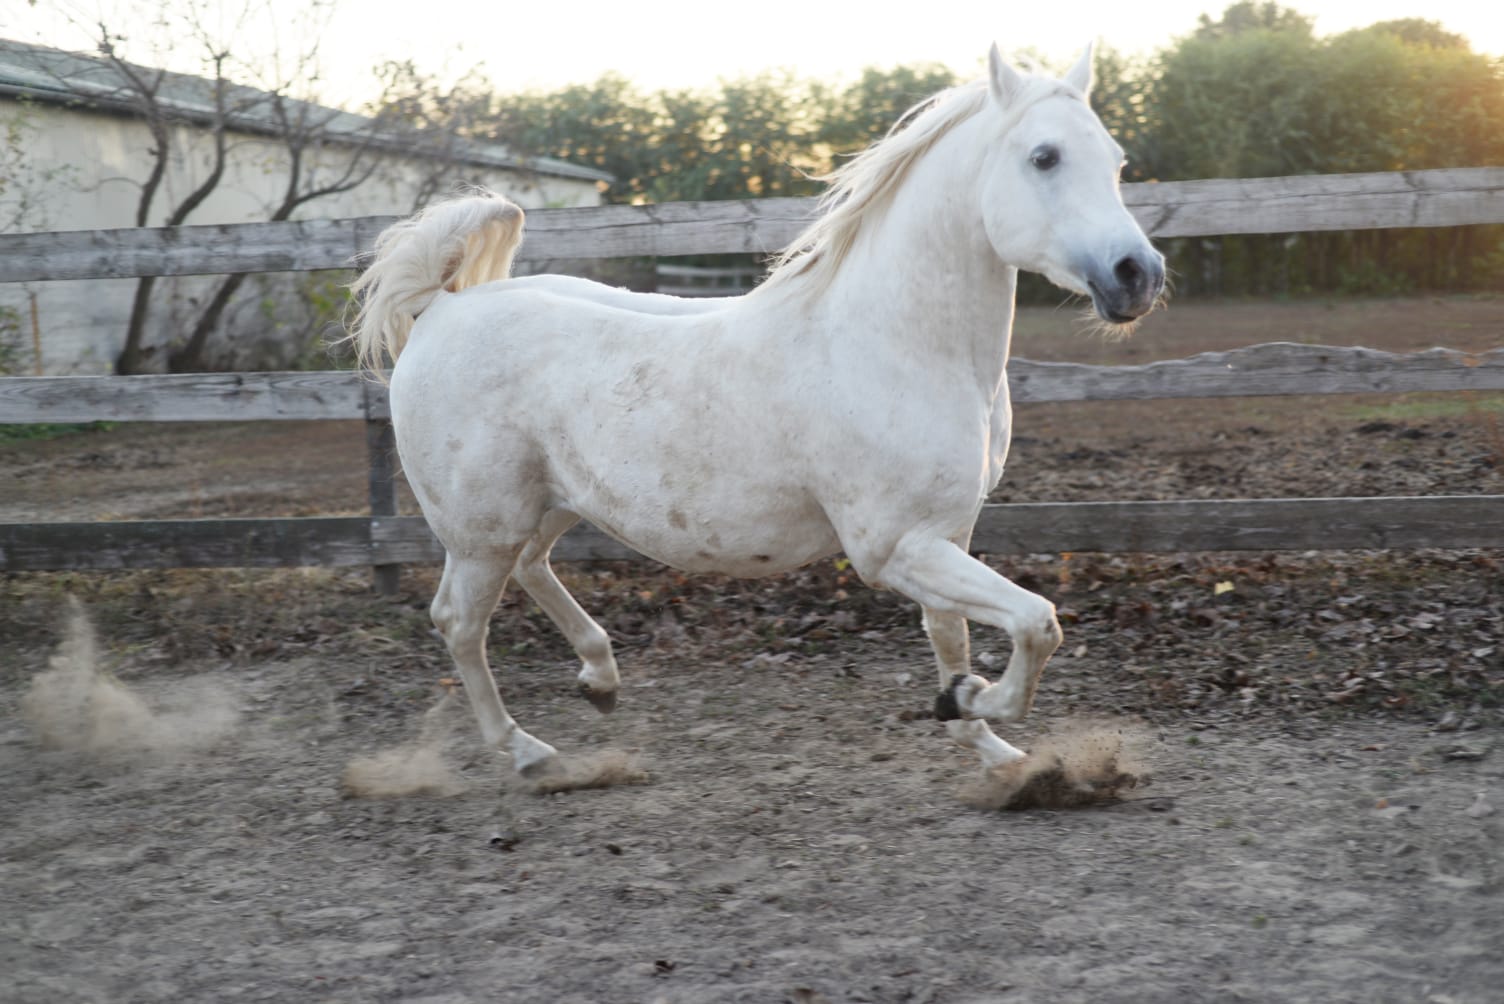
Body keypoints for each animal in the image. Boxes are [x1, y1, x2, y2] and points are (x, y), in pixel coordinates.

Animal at [346, 43, 1165, 780]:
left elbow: (953, 637)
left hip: (547, 505)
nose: (1139, 275)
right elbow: (1036, 623)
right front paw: (973, 707)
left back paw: (600, 678)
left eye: (1117, 160)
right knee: (460, 623)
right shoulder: (895, 547)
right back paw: (526, 751)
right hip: (480, 529)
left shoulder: (947, 532)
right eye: (1044, 157)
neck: (895, 342)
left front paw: (988, 743)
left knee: (531, 570)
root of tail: (440, 309)